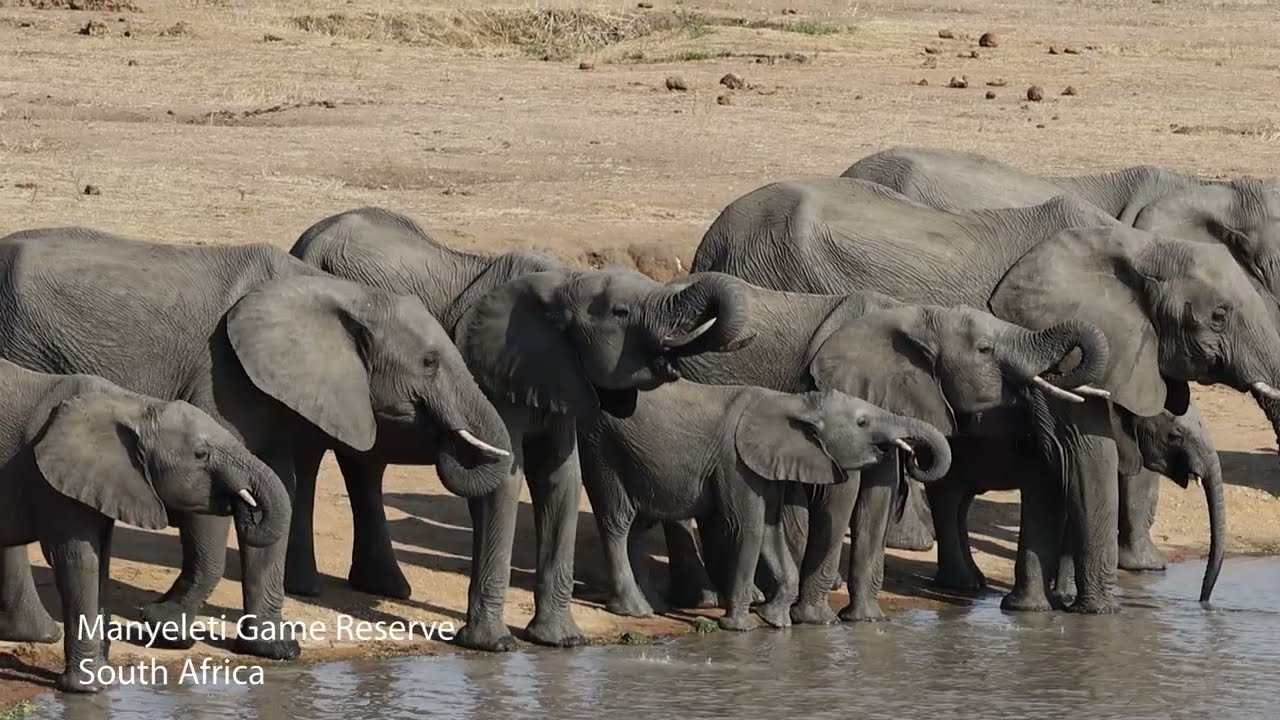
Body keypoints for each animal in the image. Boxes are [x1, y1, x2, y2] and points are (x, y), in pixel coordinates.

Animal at [0, 359, 289, 692]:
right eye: (201, 455)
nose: (247, 507)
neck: (134, 406)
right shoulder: (52, 480)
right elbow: (78, 561)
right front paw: (87, 689)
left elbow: (101, 561)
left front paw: (104, 680)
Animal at [290, 207, 756, 651]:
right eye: (621, 313)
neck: (567, 282)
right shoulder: (493, 370)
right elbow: (507, 479)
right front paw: (495, 645)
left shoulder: (558, 375)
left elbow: (560, 479)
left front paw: (561, 642)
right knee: (311, 454)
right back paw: (309, 587)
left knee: (365, 462)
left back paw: (387, 588)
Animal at [577, 383, 951, 631]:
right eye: (862, 423)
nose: (914, 456)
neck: (796, 402)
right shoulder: (735, 461)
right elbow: (749, 529)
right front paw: (739, 627)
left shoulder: (763, 462)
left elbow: (771, 531)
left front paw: (775, 621)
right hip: (602, 449)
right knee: (617, 522)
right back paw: (636, 610)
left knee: (637, 528)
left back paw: (650, 605)